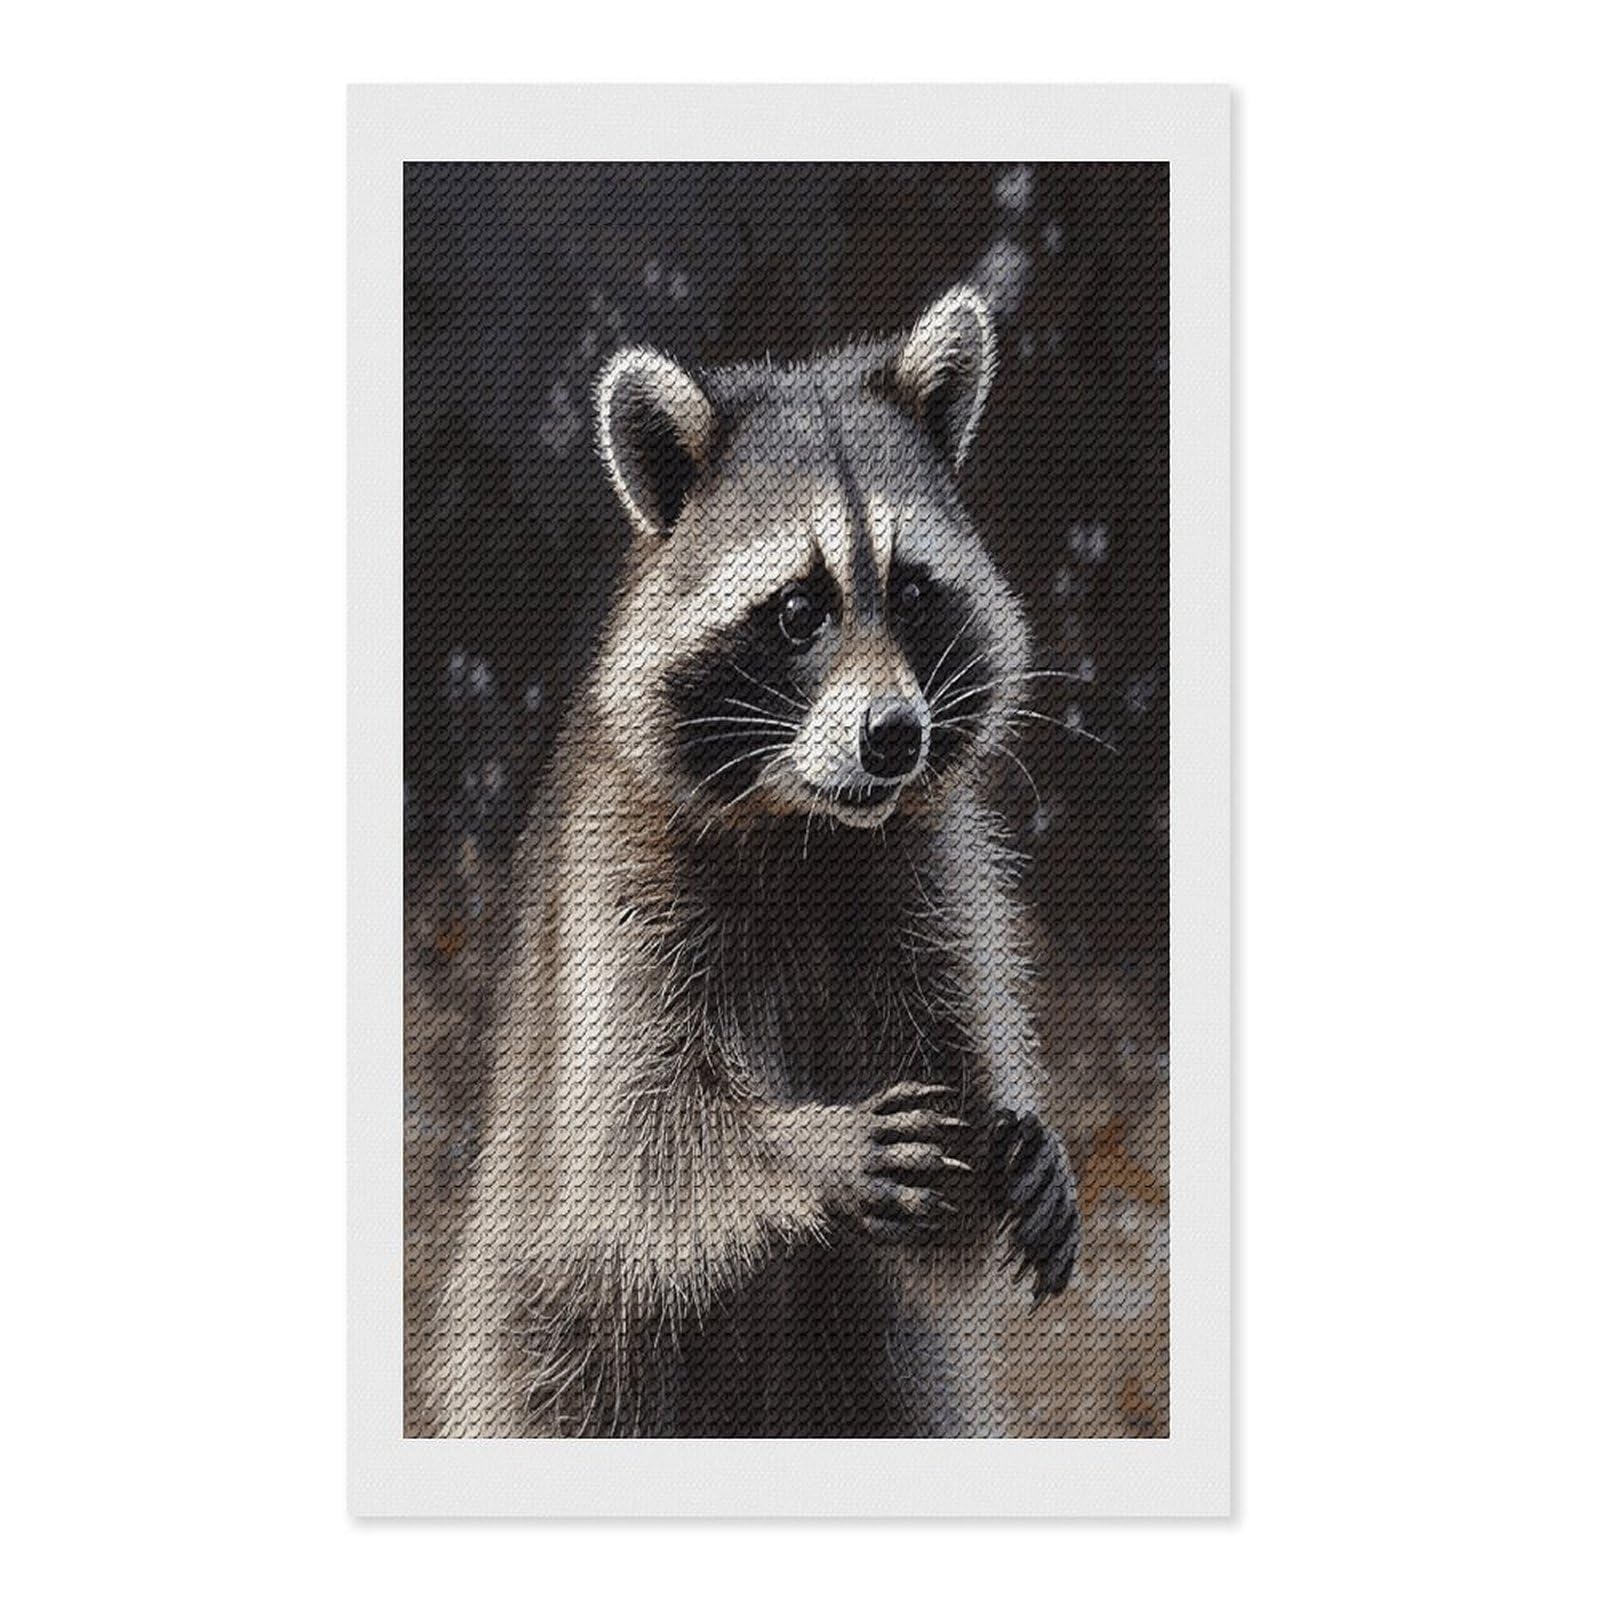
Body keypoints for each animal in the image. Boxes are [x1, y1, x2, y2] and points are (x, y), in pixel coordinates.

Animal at [433, 288, 1080, 1438]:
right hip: (548, 1345)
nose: (894, 737)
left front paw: (1020, 1146)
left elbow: (952, 1194)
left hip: (878, 1370)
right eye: (797, 610)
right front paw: (809, 1147)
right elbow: (626, 1144)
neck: (810, 832)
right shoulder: (618, 882)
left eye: (913, 594)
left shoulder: (930, 875)